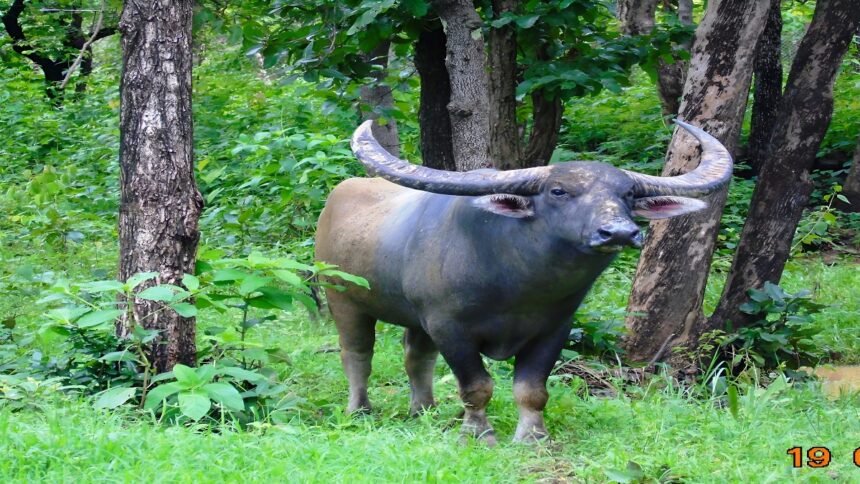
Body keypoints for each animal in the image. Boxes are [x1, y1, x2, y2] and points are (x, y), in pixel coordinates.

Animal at [315, 120, 732, 444]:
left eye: (628, 194)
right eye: (559, 191)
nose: (618, 232)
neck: (517, 287)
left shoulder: (552, 329)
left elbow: (532, 390)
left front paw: (532, 437)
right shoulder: (449, 326)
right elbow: (476, 386)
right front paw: (477, 434)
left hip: (417, 318)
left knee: (416, 357)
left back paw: (425, 411)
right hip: (343, 299)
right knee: (357, 354)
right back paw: (360, 410)